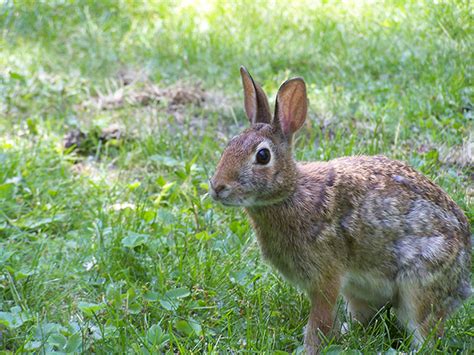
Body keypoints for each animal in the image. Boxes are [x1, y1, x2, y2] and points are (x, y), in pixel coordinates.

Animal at [209, 66, 472, 354]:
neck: (291, 192)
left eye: (263, 156)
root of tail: (463, 278)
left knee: (425, 329)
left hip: (420, 286)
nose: (217, 187)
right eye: (229, 145)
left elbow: (320, 319)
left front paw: (309, 348)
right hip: (359, 292)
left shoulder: (325, 277)